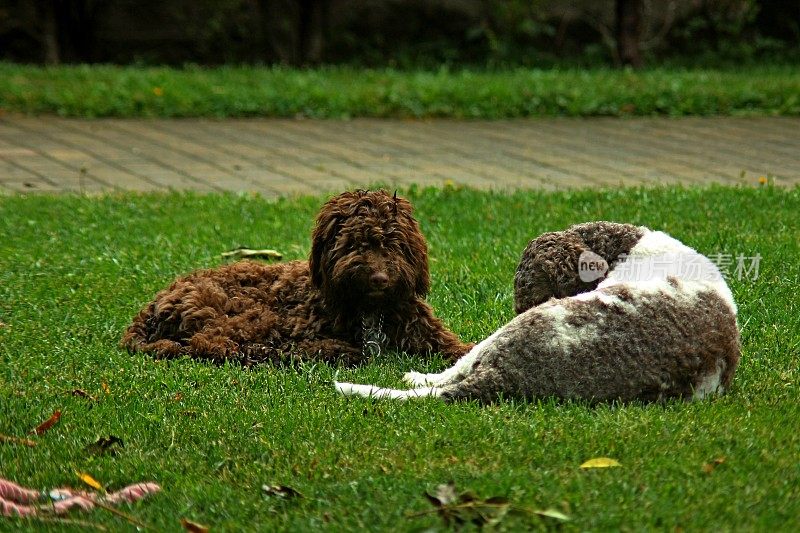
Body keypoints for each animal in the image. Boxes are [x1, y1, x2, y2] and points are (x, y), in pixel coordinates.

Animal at [122, 190, 472, 366]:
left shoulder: (421, 327)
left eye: (393, 243)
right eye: (354, 243)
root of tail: (153, 305)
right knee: (209, 344)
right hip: (246, 313)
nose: (379, 278)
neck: (371, 310)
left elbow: (457, 347)